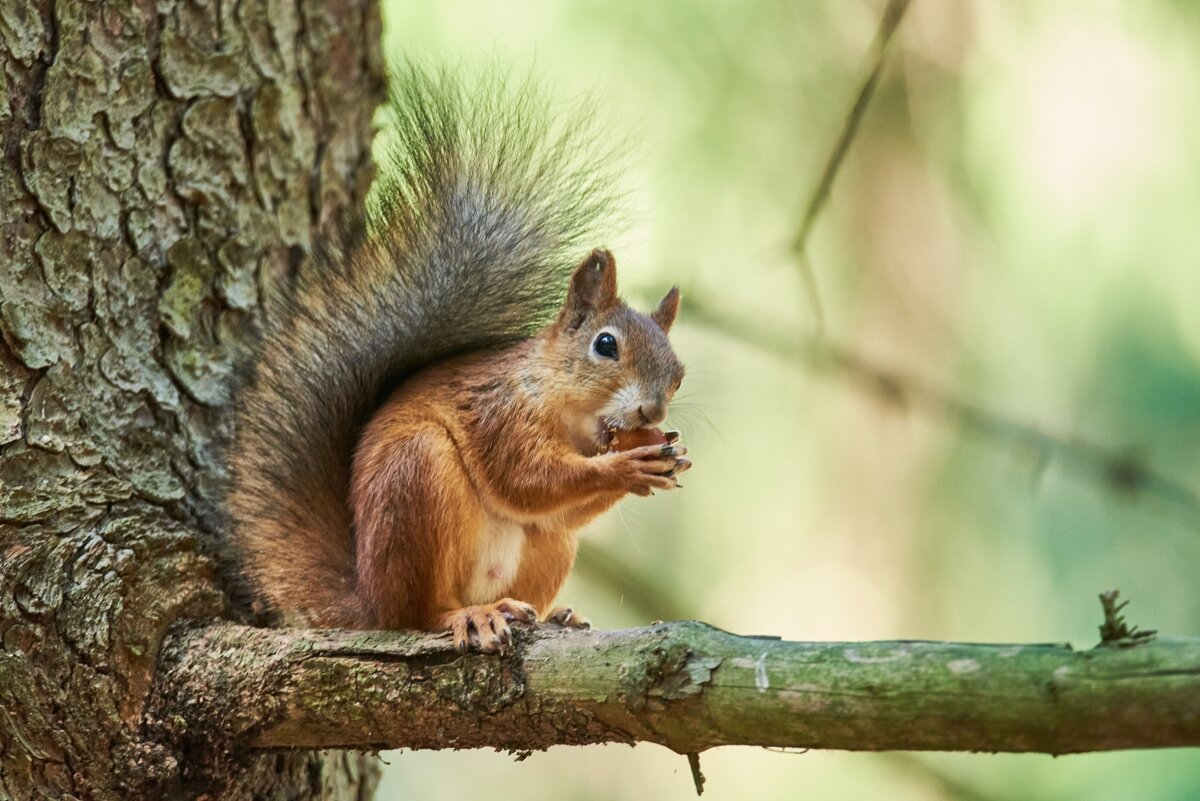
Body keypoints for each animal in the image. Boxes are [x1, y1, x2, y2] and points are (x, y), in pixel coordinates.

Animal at [225, 62, 696, 652]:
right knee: (419, 611)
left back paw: (550, 614)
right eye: (605, 345)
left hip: (544, 549)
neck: (568, 411)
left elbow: (561, 511)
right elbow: (526, 480)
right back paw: (467, 615)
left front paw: (663, 460)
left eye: (678, 374)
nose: (652, 412)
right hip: (416, 475)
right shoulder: (499, 412)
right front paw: (625, 465)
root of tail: (369, 601)